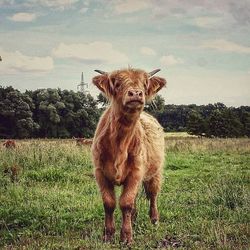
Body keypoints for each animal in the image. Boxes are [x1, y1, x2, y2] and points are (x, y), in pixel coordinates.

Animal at [91, 68, 166, 244]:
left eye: (144, 84)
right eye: (117, 84)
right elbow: (109, 203)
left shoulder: (136, 172)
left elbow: (126, 202)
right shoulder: (100, 172)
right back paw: (134, 219)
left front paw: (126, 236)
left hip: (155, 173)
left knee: (153, 195)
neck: (119, 142)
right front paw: (108, 234)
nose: (136, 93)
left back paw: (154, 220)